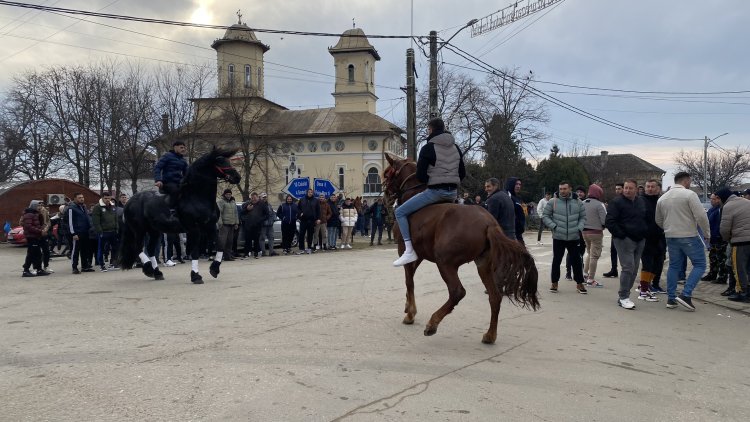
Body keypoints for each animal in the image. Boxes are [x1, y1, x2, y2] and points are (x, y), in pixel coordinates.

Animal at [121, 148, 241, 284]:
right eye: (220, 162)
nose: (237, 177)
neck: (198, 197)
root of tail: (129, 202)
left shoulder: (210, 226)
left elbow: (220, 245)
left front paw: (214, 269)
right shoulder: (194, 229)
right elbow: (195, 251)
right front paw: (196, 276)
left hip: (154, 231)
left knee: (150, 249)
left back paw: (157, 273)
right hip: (139, 230)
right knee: (138, 248)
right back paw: (149, 269)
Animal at [382, 153, 540, 344]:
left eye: (387, 173)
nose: (385, 197)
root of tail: (489, 223)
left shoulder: (404, 249)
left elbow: (409, 281)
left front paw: (410, 314)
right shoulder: (419, 255)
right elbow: (410, 278)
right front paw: (408, 307)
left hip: (445, 263)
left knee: (457, 292)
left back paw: (433, 323)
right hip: (483, 265)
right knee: (495, 297)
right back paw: (490, 335)